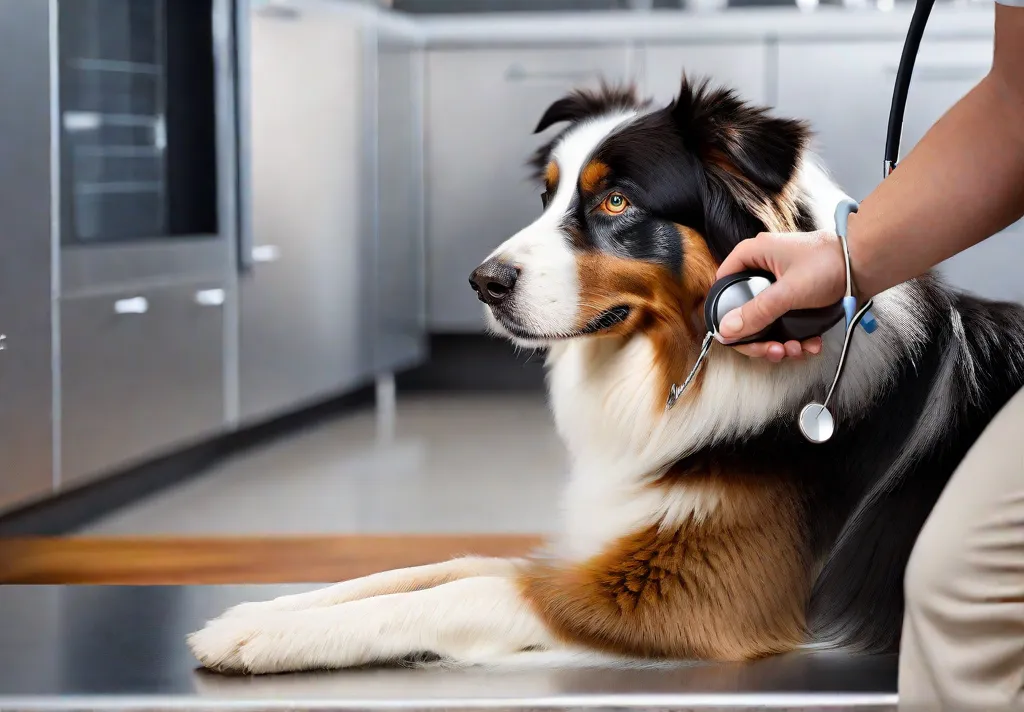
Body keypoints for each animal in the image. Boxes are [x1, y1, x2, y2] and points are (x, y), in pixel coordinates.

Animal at [188, 75, 1024, 676]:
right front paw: (259, 614)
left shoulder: (700, 591)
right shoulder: (607, 536)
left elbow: (470, 588)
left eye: (616, 200)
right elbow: (431, 567)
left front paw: (267, 640)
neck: (679, 367)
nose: (481, 282)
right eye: (547, 194)